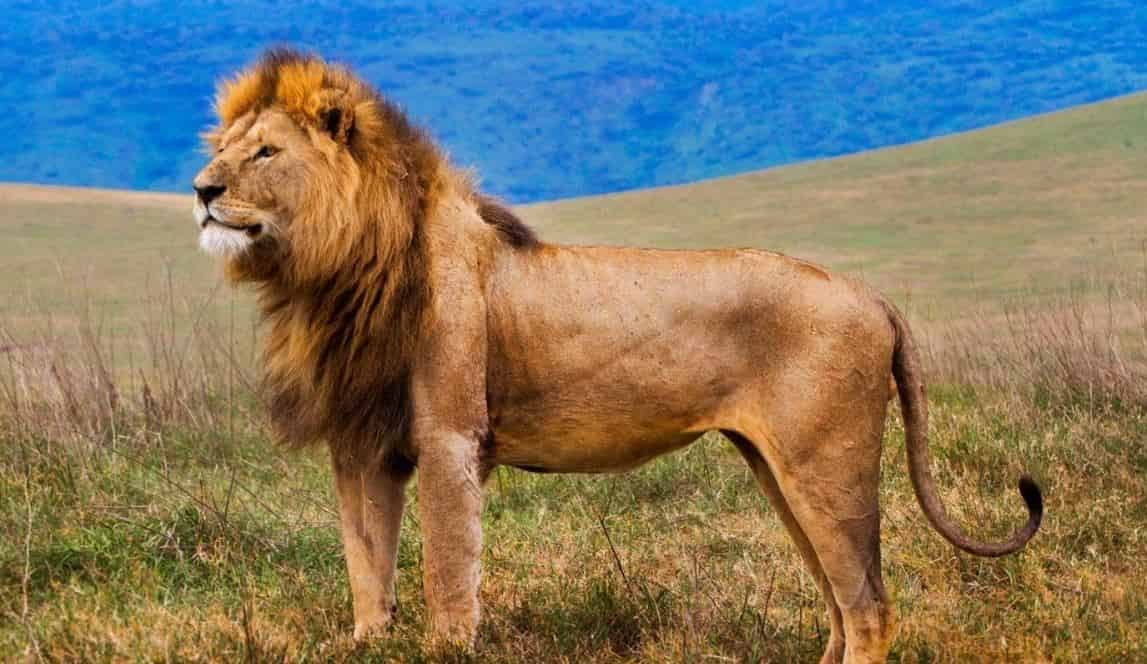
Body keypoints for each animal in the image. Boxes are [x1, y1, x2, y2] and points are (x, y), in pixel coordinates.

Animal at [192, 49, 1042, 664]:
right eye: (223, 150)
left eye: (263, 153)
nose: (200, 190)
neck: (334, 273)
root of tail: (870, 294)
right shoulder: (360, 441)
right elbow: (366, 564)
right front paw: (367, 642)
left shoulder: (449, 437)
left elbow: (445, 569)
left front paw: (443, 646)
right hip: (779, 469)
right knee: (839, 605)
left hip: (824, 462)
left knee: (868, 609)